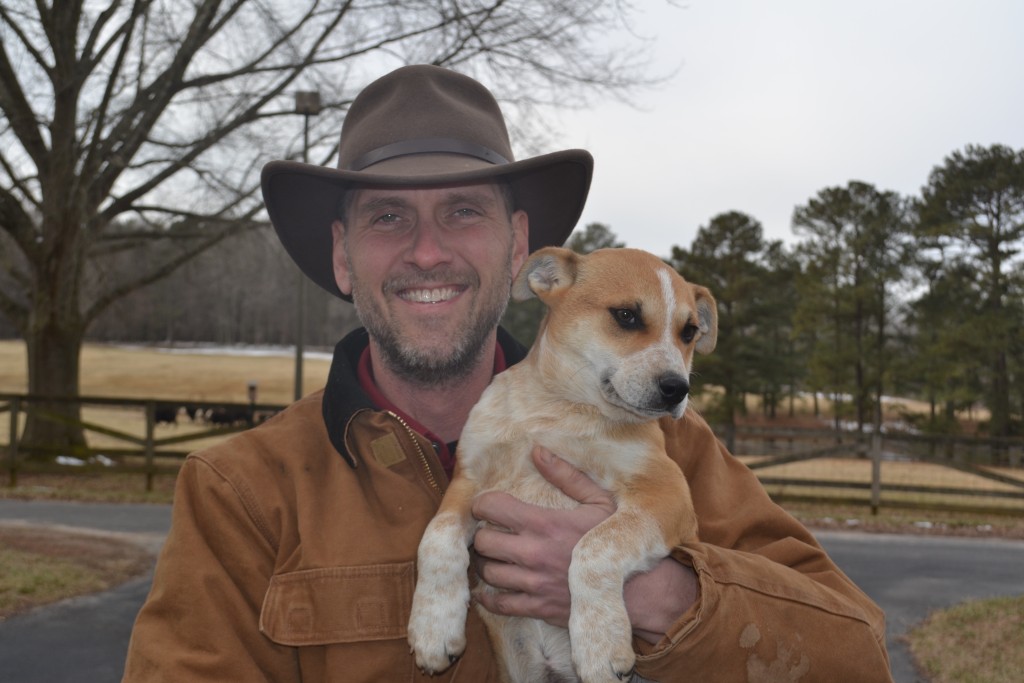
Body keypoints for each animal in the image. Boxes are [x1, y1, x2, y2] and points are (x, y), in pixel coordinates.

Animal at [403, 246, 716, 683]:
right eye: (626, 315)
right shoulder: (468, 481)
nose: (677, 389)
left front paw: (599, 645)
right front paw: (433, 629)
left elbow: (593, 546)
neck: (558, 409)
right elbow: (436, 539)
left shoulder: (664, 492)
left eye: (688, 333)